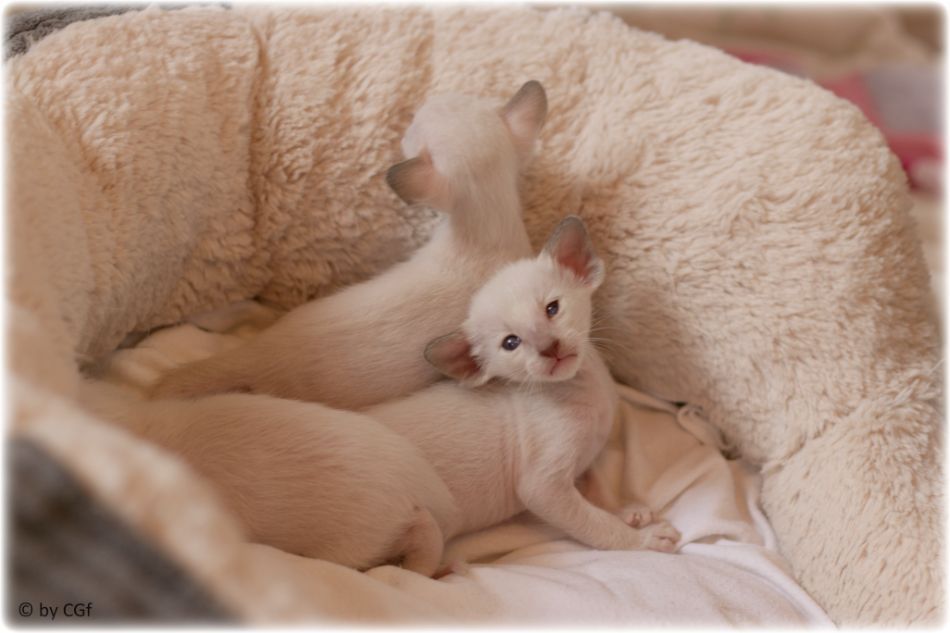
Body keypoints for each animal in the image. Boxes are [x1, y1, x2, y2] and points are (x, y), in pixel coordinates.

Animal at [367, 216, 680, 554]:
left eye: (552, 308)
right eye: (511, 343)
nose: (549, 347)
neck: (585, 387)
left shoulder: (587, 458)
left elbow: (598, 489)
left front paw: (623, 510)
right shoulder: (542, 488)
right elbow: (597, 526)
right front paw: (643, 539)